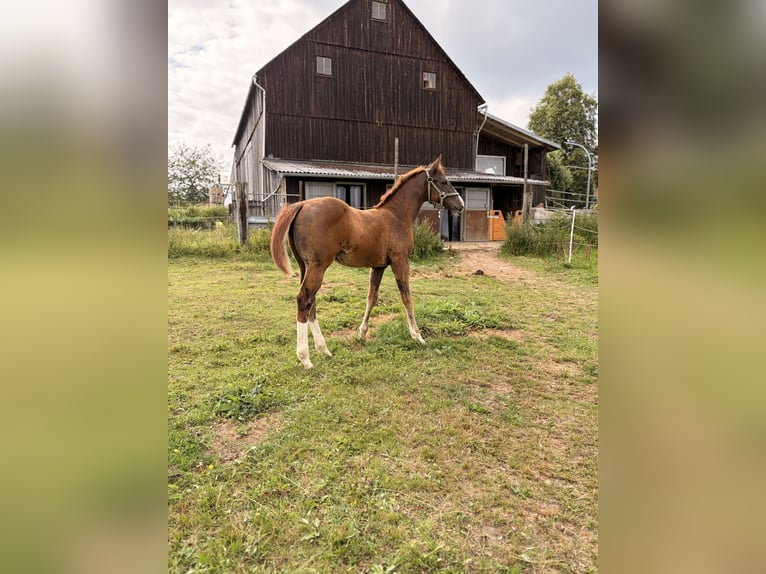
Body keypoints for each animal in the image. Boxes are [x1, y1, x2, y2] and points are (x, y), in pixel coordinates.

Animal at [270, 156, 465, 368]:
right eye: (443, 182)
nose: (460, 204)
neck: (395, 216)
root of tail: (302, 205)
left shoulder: (378, 266)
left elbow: (371, 297)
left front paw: (362, 334)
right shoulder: (400, 261)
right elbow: (406, 297)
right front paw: (417, 336)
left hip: (305, 266)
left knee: (311, 302)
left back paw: (324, 350)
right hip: (318, 266)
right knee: (304, 299)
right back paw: (305, 358)